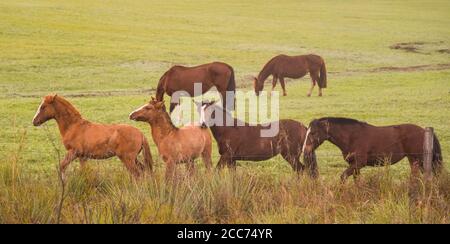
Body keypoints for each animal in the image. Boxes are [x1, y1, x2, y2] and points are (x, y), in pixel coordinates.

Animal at [302, 117, 442, 182]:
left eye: (313, 133)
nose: (305, 150)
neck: (352, 136)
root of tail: (423, 130)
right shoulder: (354, 165)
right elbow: (357, 180)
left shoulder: (359, 163)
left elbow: (343, 177)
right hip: (413, 160)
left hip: (419, 159)